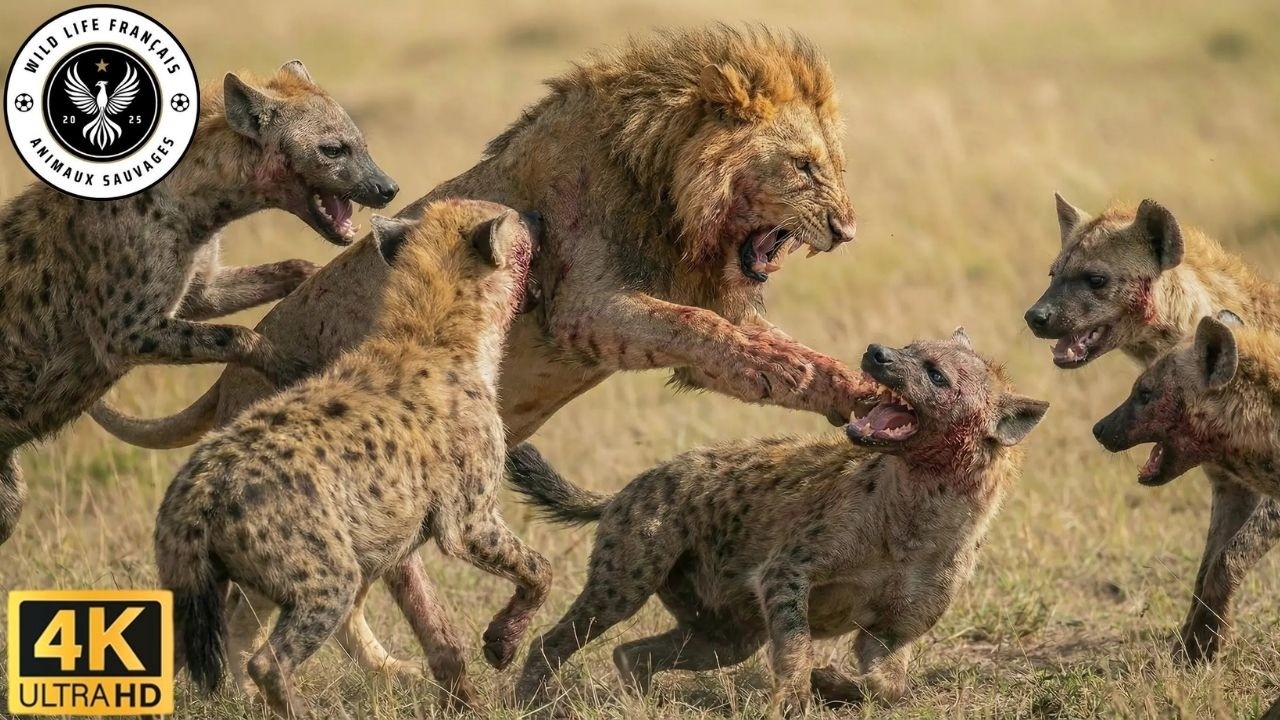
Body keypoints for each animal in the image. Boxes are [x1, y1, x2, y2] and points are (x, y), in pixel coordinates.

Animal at [95, 26, 873, 682]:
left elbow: (757, 346)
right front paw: (802, 375)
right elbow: (705, 331)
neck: (665, 191)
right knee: (263, 614)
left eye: (835, 165)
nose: (846, 229)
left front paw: (861, 397)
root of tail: (226, 386)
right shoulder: (590, 312)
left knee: (296, 607)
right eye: (803, 167)